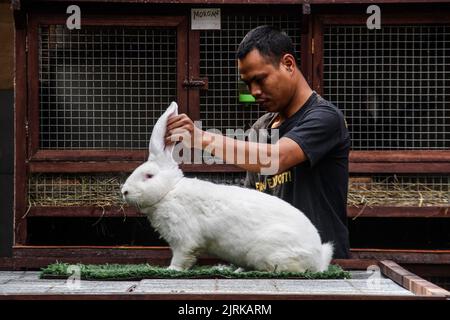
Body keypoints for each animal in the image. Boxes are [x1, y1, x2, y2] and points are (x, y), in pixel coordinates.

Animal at [121, 102, 332, 272]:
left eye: (149, 176)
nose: (124, 191)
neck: (169, 191)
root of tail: (318, 258)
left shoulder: (184, 239)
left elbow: (182, 257)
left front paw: (171, 270)